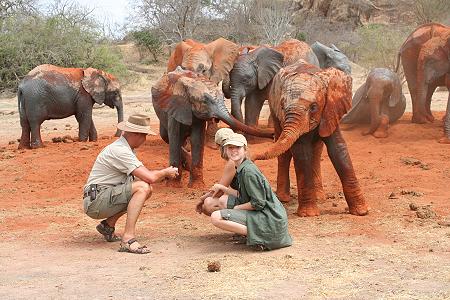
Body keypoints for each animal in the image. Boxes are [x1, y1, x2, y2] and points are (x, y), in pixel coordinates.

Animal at [251, 59, 368, 217]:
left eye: (313, 107)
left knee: (316, 151)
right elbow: (301, 151)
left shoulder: (330, 110)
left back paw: (319, 197)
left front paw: (361, 211)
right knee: (285, 152)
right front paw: (309, 214)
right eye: (282, 106)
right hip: (273, 108)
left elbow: (338, 149)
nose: (250, 157)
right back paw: (283, 198)